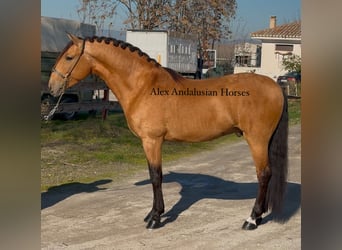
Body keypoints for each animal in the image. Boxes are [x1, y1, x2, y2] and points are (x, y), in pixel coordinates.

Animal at [48, 33, 288, 230]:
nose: (52, 88)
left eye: (69, 57)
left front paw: (155, 218)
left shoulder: (152, 141)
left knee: (263, 174)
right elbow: (154, 175)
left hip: (256, 140)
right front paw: (152, 214)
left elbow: (156, 176)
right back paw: (259, 216)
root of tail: (275, 86)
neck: (142, 86)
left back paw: (251, 219)